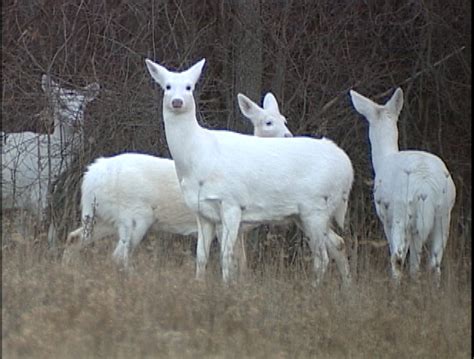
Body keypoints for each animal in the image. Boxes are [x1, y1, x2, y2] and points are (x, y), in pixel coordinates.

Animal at [64, 91, 290, 268]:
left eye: (284, 120)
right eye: (268, 122)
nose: (289, 136)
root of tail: (91, 176)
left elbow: (242, 263)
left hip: (103, 216)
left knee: (74, 238)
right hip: (133, 215)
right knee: (118, 255)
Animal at [146, 57, 354, 286]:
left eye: (189, 87)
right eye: (167, 86)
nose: (177, 102)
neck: (199, 156)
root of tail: (348, 168)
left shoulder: (232, 203)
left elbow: (227, 256)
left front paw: (227, 287)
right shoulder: (202, 212)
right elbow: (201, 256)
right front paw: (199, 284)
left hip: (316, 207)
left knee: (321, 257)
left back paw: (315, 288)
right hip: (306, 214)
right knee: (338, 243)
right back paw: (346, 287)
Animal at [350, 88, 458, 286]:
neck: (384, 158)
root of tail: (425, 186)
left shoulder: (385, 216)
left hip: (402, 210)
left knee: (398, 256)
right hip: (444, 212)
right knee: (434, 262)